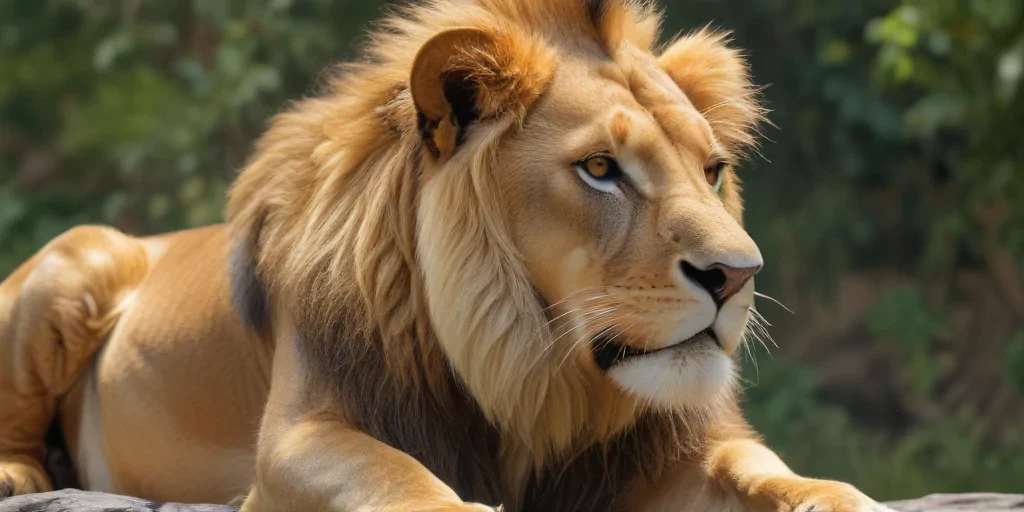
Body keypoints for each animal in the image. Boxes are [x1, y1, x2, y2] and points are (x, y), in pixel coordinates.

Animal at [0, 0, 891, 510]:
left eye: (711, 171)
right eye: (601, 169)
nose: (737, 276)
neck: (531, 368)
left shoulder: (666, 454)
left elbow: (770, 469)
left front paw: (836, 494)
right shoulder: (293, 440)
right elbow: (394, 476)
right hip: (79, 254)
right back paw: (20, 475)